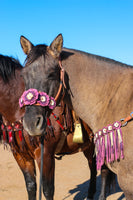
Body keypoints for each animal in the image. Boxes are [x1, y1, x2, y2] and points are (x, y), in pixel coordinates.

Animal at [0, 54, 113, 200]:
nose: (31, 123)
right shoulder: (20, 155)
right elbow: (31, 187)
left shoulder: (45, 154)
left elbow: (48, 190)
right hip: (88, 145)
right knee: (92, 165)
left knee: (104, 169)